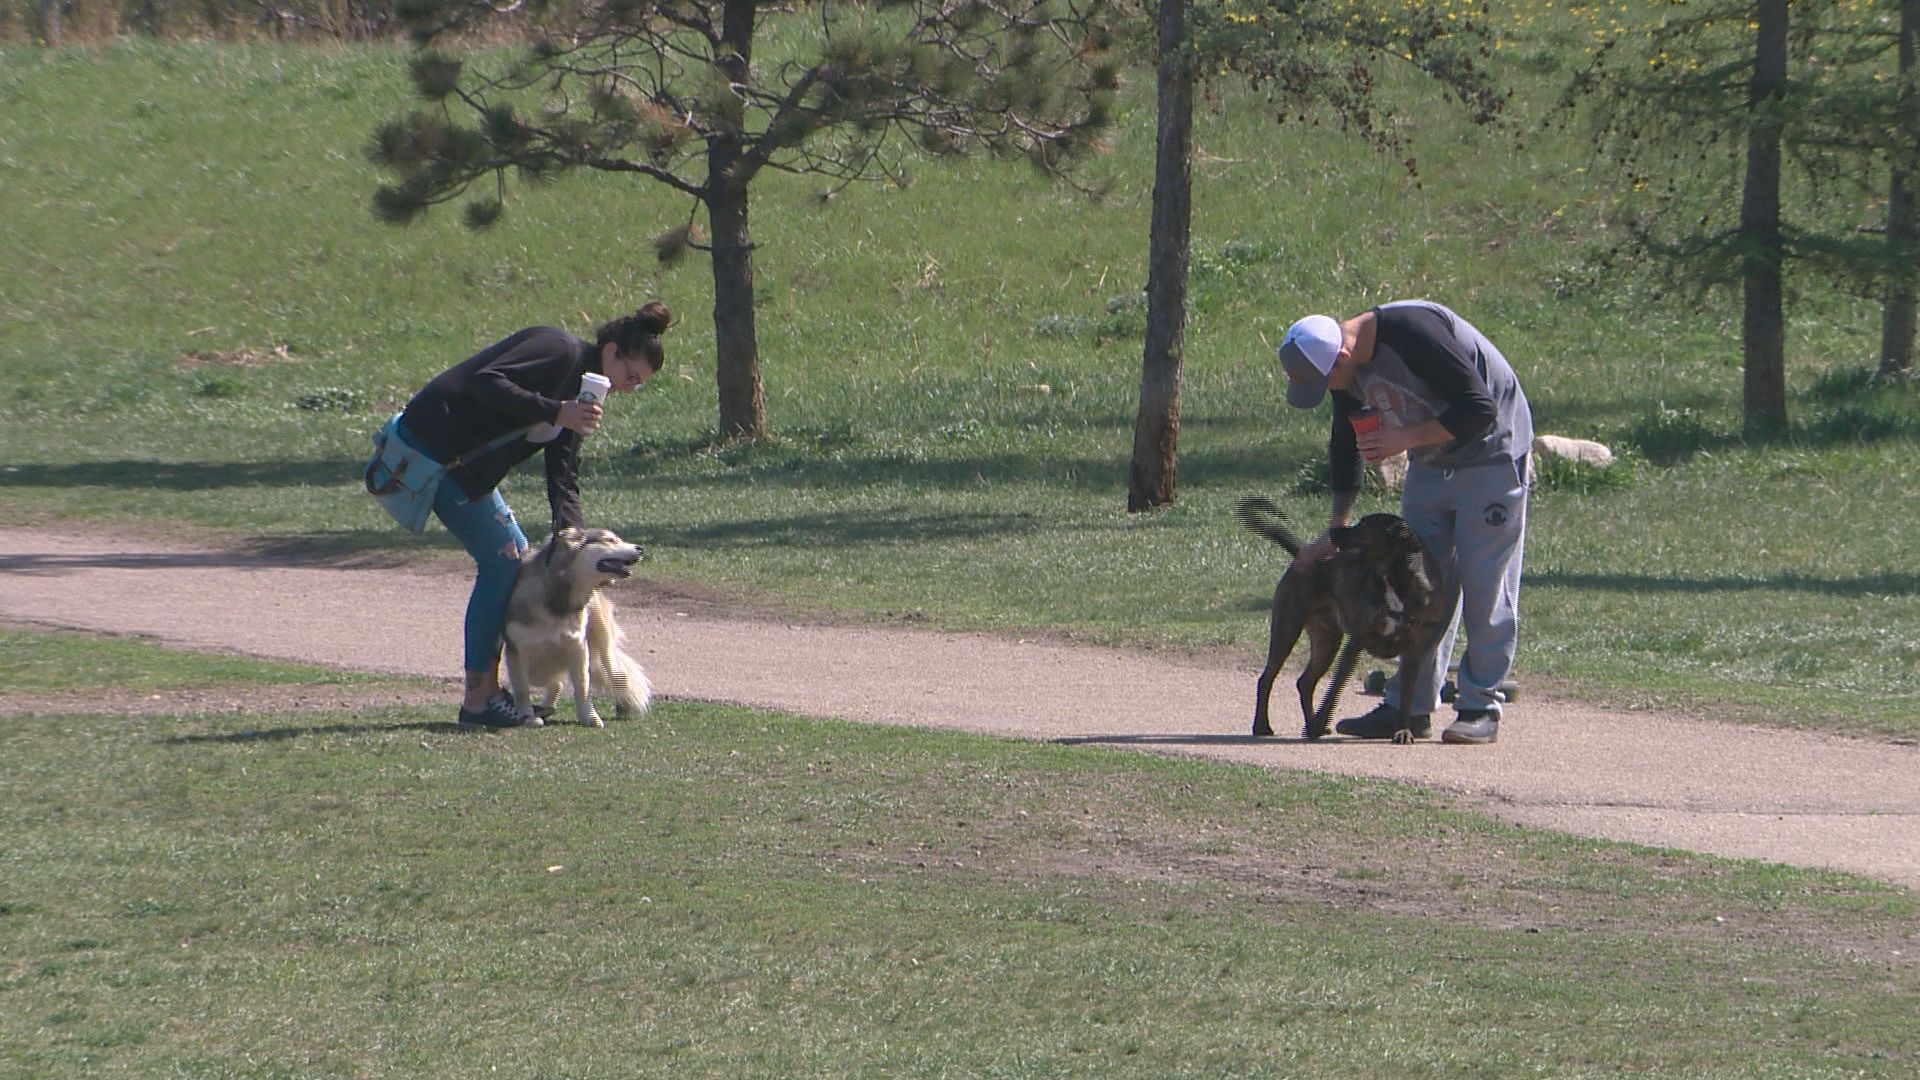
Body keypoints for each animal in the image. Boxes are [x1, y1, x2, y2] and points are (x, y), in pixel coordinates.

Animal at [503, 522, 652, 722]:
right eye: (610, 540)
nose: (641, 548)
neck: (557, 596)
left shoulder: (577, 644)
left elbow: (583, 686)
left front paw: (590, 718)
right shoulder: (516, 649)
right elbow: (522, 689)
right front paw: (528, 716)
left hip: (602, 645)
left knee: (617, 673)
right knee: (552, 681)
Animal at [1236, 495, 1443, 737]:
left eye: (1363, 526)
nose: (1334, 531)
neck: (1395, 585)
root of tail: (1302, 552)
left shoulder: (1413, 650)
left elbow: (1407, 697)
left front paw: (1403, 732)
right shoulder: (1356, 643)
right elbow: (1335, 689)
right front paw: (1319, 723)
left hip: (1327, 639)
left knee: (1305, 682)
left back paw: (1310, 724)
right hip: (1287, 627)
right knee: (1267, 678)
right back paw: (1264, 725)